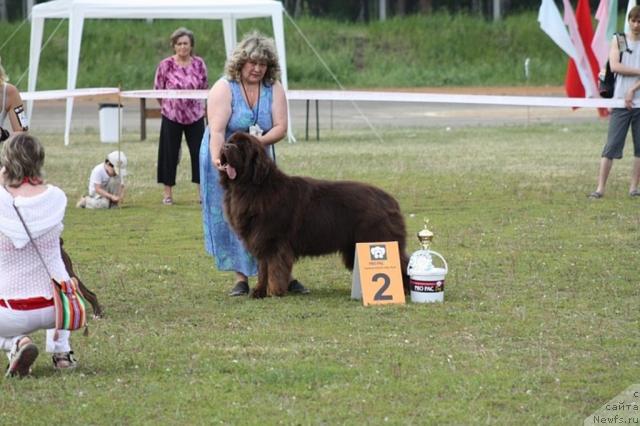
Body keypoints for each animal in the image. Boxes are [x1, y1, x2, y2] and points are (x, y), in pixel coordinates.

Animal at [220, 131, 410, 298]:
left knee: (403, 263)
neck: (253, 188)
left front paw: (274, 291)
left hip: (378, 239)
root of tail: (390, 200)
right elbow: (263, 269)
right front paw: (259, 292)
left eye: (242, 146)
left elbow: (274, 268)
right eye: (230, 141)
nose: (225, 146)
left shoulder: (273, 241)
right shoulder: (261, 241)